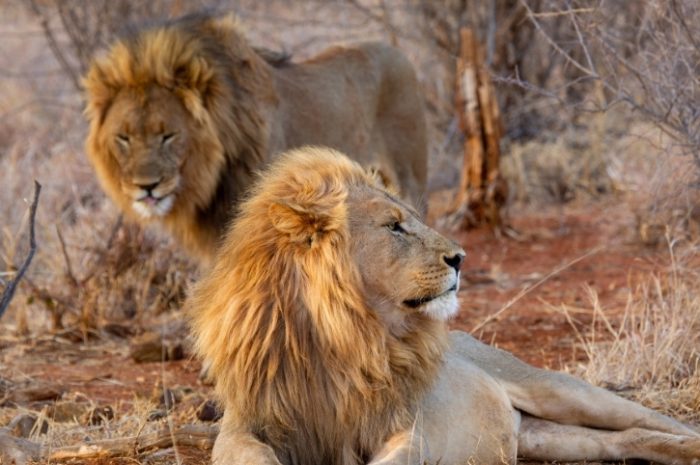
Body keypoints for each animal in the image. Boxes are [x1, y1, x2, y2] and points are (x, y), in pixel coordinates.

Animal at [83, 12, 427, 265]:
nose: (146, 187)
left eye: (168, 135)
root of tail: (399, 52)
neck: (210, 181)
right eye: (124, 138)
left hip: (408, 178)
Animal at [187, 146, 700, 465]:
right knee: (624, 441)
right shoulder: (247, 422)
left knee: (650, 420)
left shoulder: (410, 426)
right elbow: (246, 454)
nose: (460, 257)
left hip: (562, 391)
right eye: (394, 226)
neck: (341, 335)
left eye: (413, 219)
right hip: (543, 438)